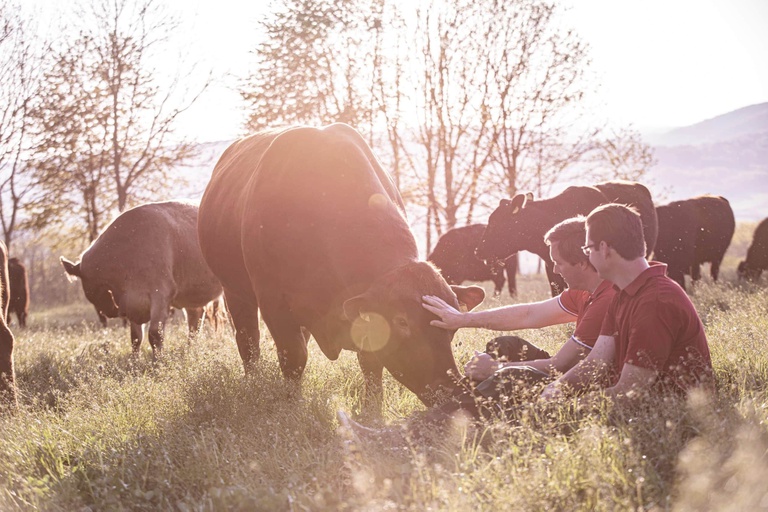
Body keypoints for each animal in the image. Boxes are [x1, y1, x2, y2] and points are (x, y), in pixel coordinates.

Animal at [198, 125, 486, 408]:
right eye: (402, 321)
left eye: (452, 326)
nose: (449, 390)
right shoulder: (274, 304)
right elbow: (293, 357)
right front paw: (293, 404)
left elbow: (371, 363)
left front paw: (372, 409)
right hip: (235, 292)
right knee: (249, 343)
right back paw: (253, 381)